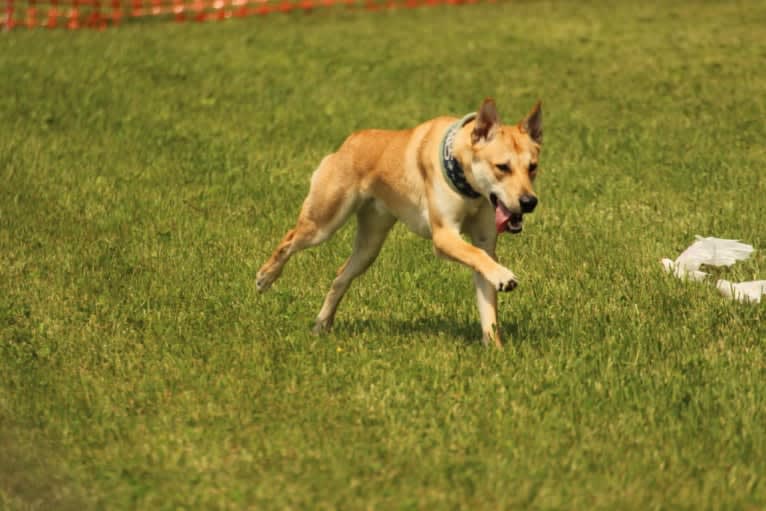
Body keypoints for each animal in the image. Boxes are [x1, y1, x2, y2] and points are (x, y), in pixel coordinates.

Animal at [260, 99, 544, 348]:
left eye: (532, 167)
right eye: (502, 167)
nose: (529, 201)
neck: (463, 175)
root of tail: (348, 142)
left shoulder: (485, 241)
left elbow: (487, 296)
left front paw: (495, 349)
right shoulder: (444, 236)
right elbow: (476, 256)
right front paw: (504, 276)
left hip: (370, 244)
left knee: (341, 276)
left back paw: (322, 324)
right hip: (324, 220)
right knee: (289, 240)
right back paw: (265, 277)